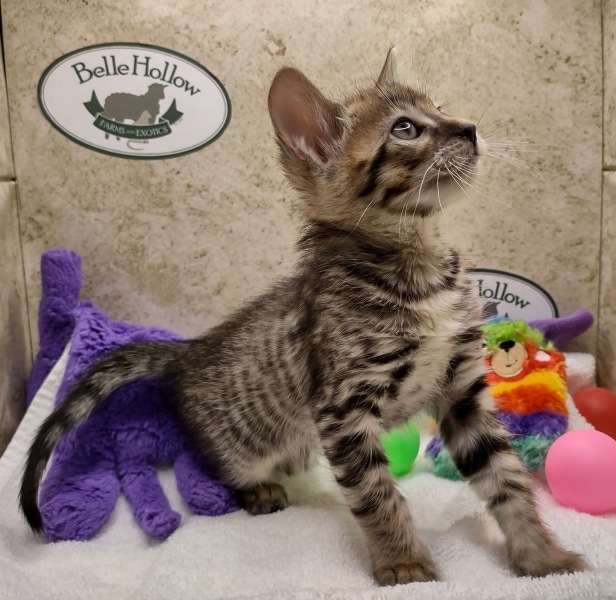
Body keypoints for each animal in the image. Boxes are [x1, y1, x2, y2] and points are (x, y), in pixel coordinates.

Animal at [20, 48, 587, 586]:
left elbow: (506, 478)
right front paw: (403, 563)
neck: (419, 268)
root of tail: (192, 350)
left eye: (441, 108)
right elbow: (378, 495)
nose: (468, 127)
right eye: (405, 129)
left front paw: (542, 556)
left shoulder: (462, 392)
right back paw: (255, 490)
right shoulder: (342, 411)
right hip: (247, 441)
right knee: (209, 463)